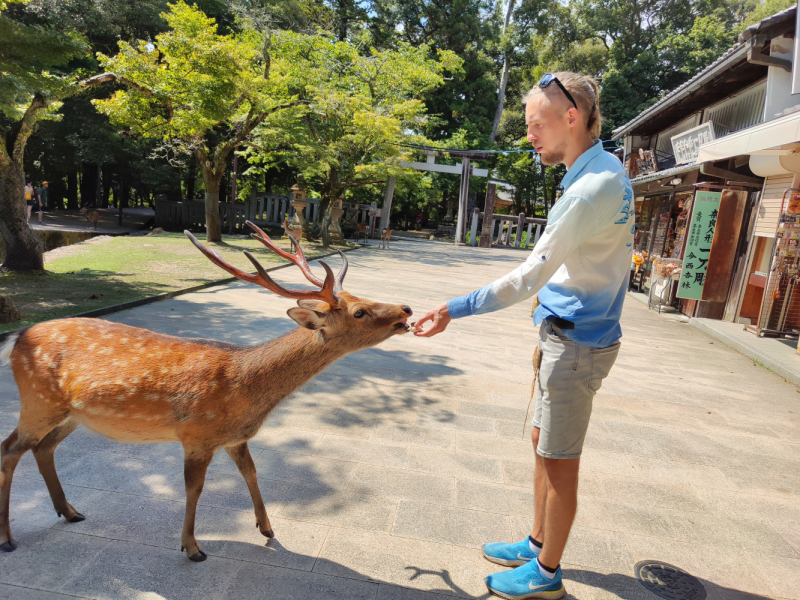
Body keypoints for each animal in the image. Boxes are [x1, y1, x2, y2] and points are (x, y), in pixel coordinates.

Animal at [0, 220, 412, 564]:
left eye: (363, 297)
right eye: (359, 312)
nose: (406, 308)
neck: (245, 390)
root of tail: (15, 339)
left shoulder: (234, 437)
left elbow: (252, 473)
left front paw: (267, 528)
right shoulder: (197, 434)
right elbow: (194, 489)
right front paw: (192, 547)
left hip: (70, 413)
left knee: (42, 448)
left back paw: (70, 511)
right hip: (38, 401)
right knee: (10, 449)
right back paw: (7, 538)